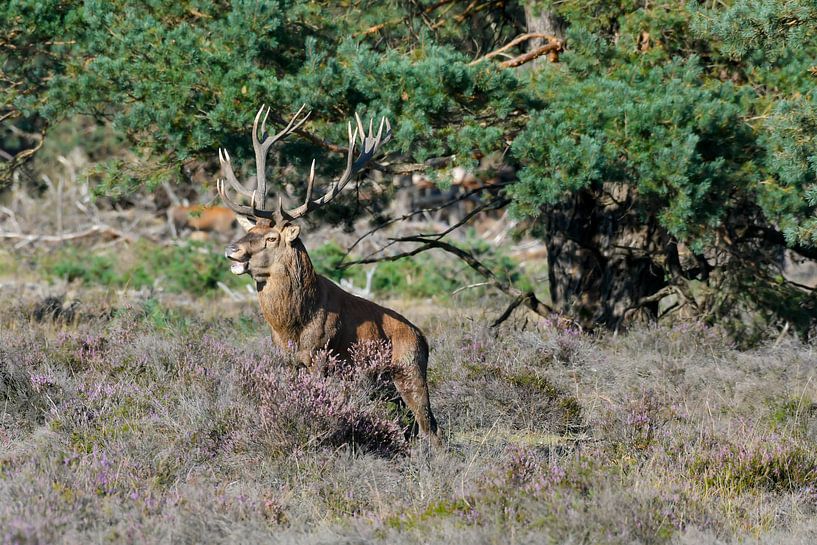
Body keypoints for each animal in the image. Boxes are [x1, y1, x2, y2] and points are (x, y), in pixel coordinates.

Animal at [217, 104, 444, 444]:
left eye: (270, 238)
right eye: (250, 230)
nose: (232, 249)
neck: (293, 326)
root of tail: (424, 339)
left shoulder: (320, 356)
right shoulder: (287, 361)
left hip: (409, 370)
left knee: (430, 427)